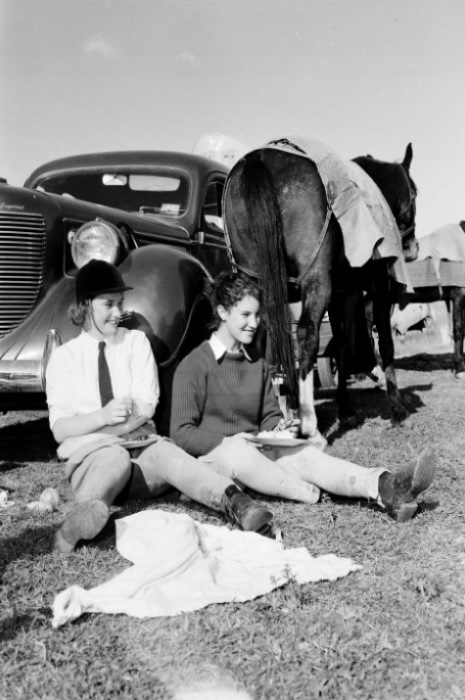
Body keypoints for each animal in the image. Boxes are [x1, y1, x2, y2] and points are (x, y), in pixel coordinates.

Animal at [222, 138, 416, 432]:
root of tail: (260, 158)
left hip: (256, 282)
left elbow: (342, 344)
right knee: (305, 335)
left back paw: (285, 410)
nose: (413, 248)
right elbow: (384, 344)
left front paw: (346, 410)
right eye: (414, 193)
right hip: (316, 282)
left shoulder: (340, 295)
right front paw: (396, 407)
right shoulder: (377, 289)